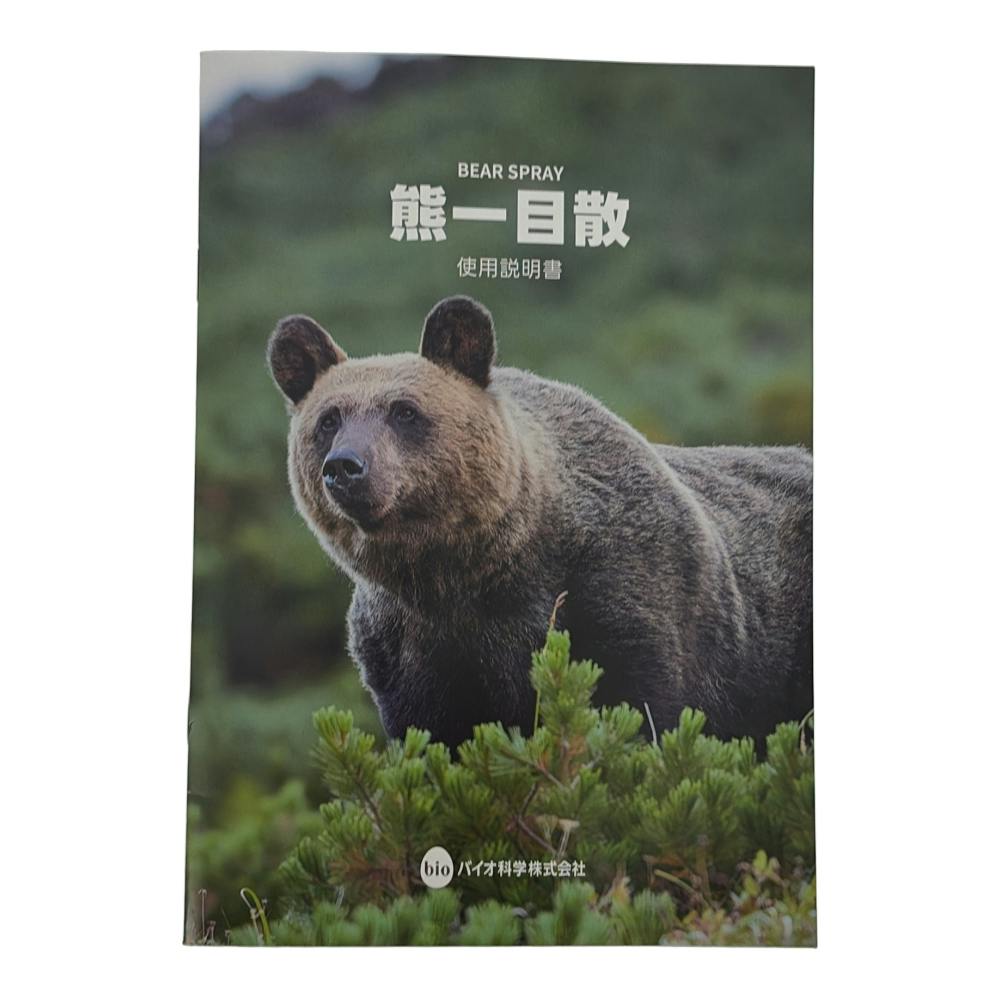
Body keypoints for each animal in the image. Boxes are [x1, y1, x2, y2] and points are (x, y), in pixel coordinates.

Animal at [268, 295, 812, 750]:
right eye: (329, 419)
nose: (345, 466)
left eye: (404, 411)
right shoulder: (409, 648)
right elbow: (435, 737)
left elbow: (640, 709)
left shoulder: (620, 595)